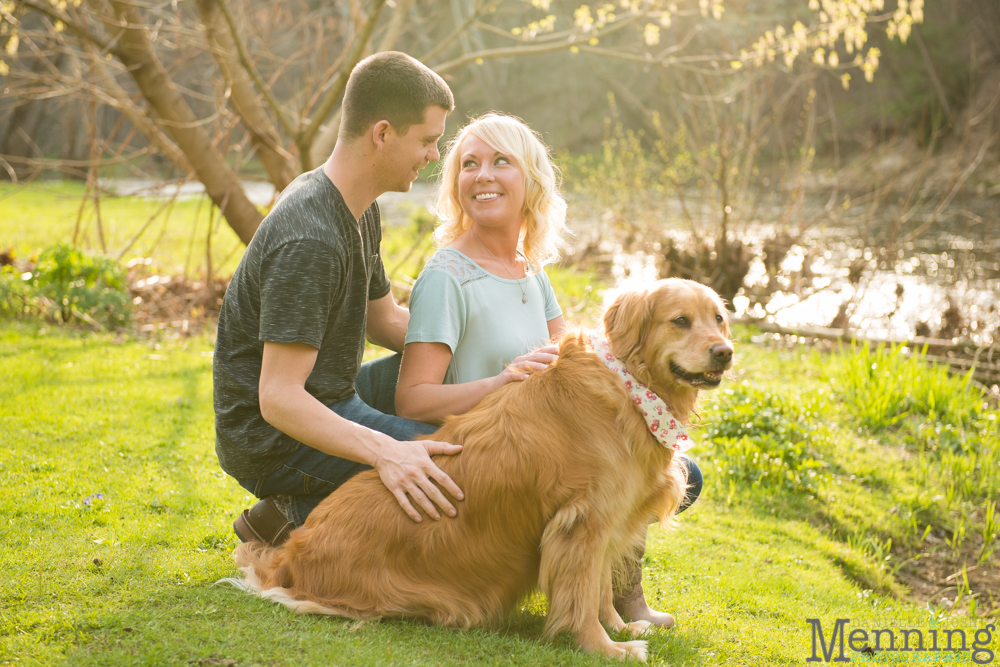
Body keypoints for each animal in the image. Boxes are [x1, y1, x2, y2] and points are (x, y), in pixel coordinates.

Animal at [229, 278, 736, 664]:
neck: (629, 384)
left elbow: (598, 591)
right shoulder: (582, 524)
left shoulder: (610, 519)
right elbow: (581, 596)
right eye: (680, 320)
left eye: (719, 318)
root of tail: (291, 558)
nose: (725, 352)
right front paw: (604, 647)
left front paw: (619, 626)